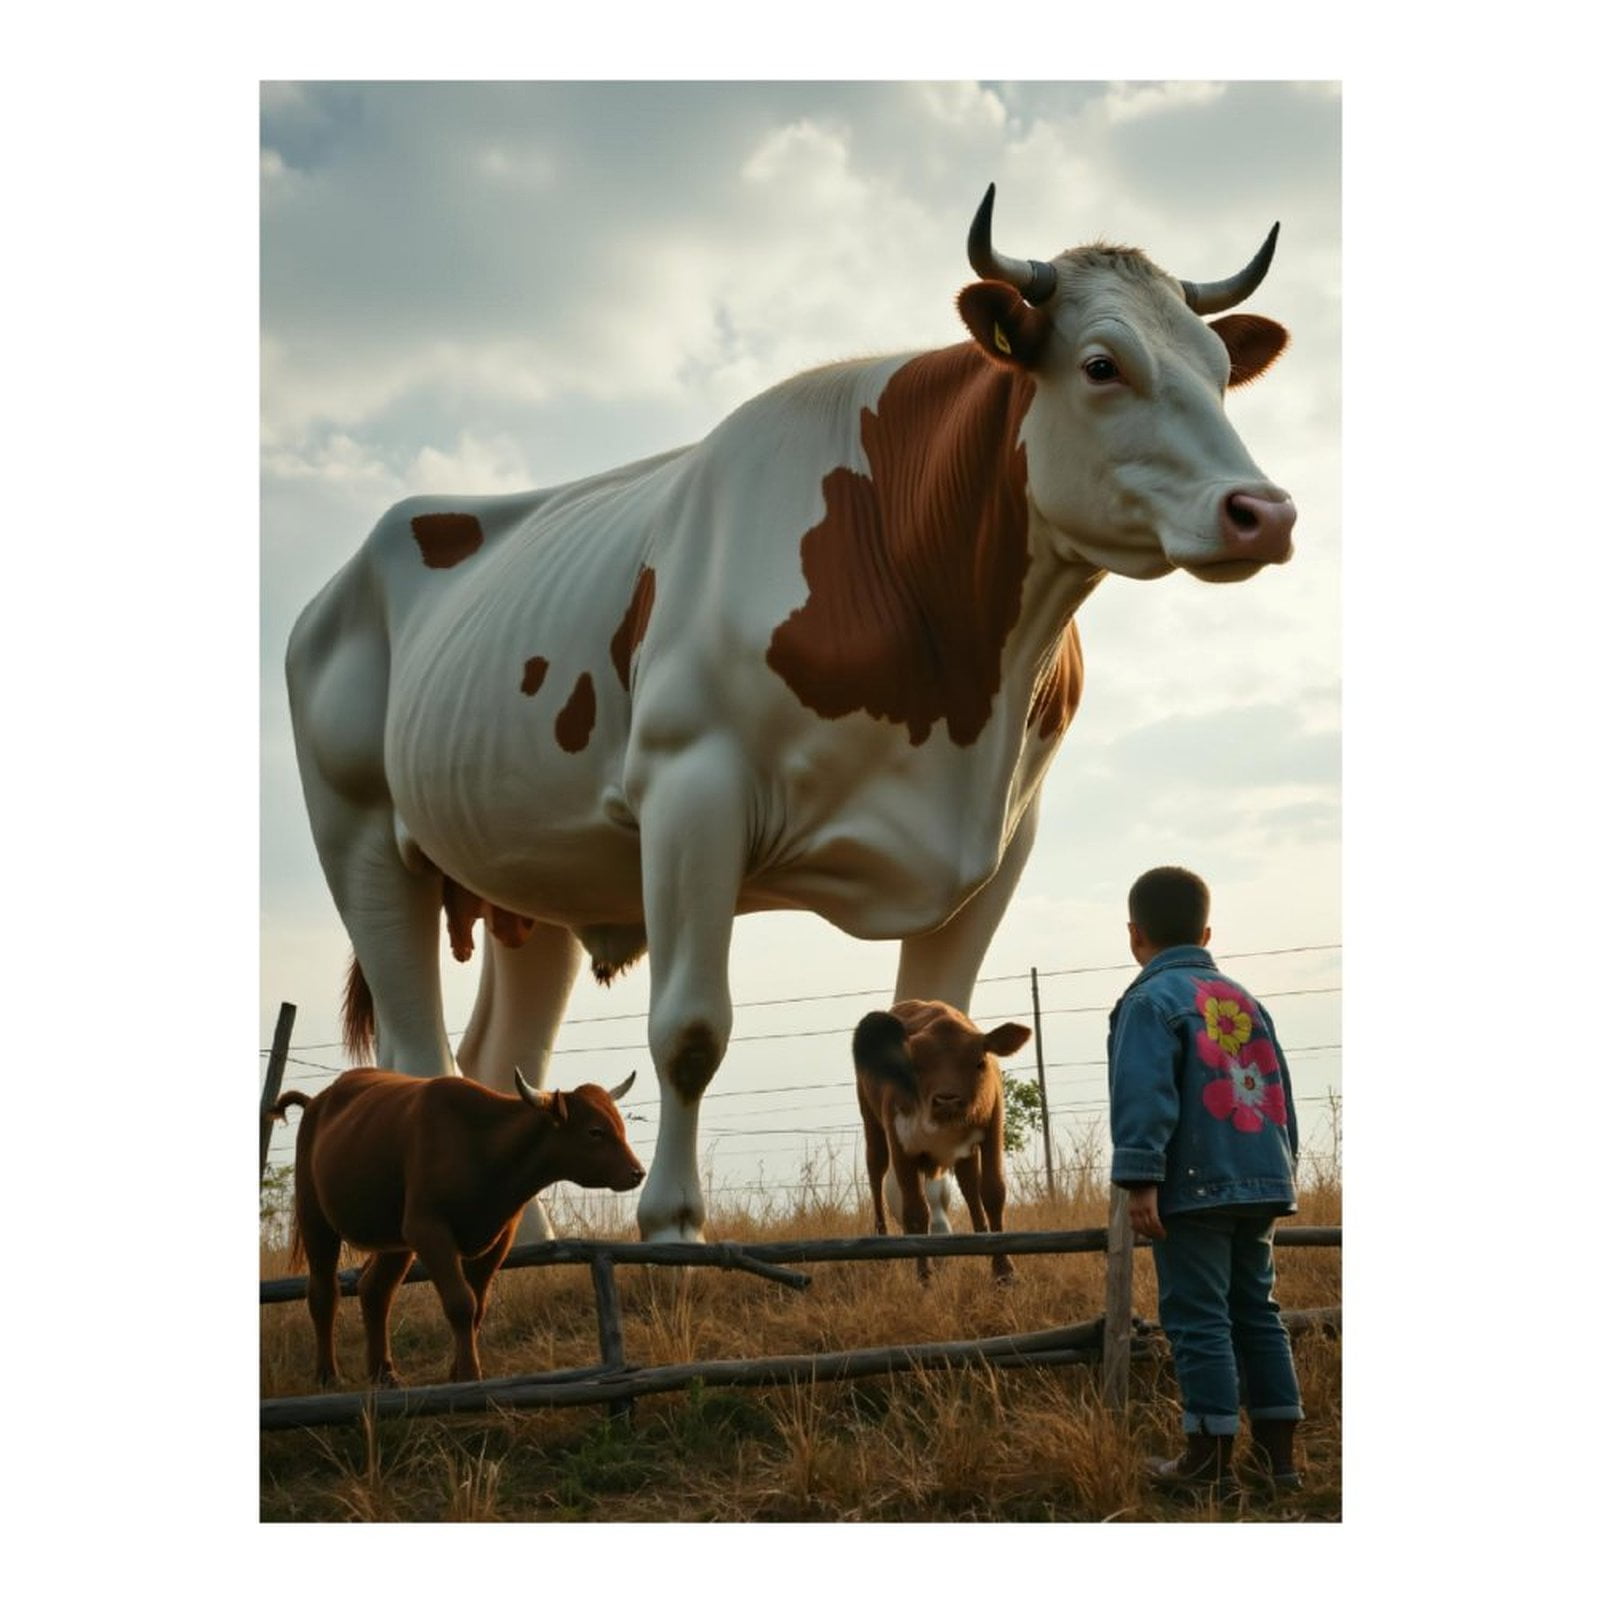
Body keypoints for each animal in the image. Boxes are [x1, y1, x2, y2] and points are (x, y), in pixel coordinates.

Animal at [269, 1068, 643, 1385]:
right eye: (595, 1131)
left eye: (621, 1126)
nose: (637, 1172)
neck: (481, 1145)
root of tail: (317, 1102)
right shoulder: (429, 1230)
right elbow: (461, 1302)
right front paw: (469, 1374)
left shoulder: (498, 1239)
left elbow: (477, 1306)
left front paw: (457, 1371)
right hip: (316, 1220)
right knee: (323, 1293)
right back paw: (328, 1376)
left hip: (396, 1241)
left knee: (375, 1290)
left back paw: (383, 1374)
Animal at [285, 183, 1297, 1246]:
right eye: (1103, 365)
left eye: (1222, 371)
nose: (1263, 511)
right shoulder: (692, 791)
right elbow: (689, 1031)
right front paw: (674, 1228)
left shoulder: (1005, 837)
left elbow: (937, 1013)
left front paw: (937, 1227)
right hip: (361, 836)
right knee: (419, 1048)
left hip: (532, 879)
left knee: (496, 1057)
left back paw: (522, 1247)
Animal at [852, 1001, 1030, 1283]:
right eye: (915, 1065)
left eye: (979, 1062)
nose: (947, 1100)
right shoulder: (901, 1148)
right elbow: (915, 1211)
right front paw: (924, 1276)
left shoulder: (992, 1130)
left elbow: (992, 1192)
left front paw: (1004, 1270)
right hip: (873, 1126)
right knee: (875, 1174)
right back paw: (883, 1251)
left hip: (965, 1153)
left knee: (970, 1187)